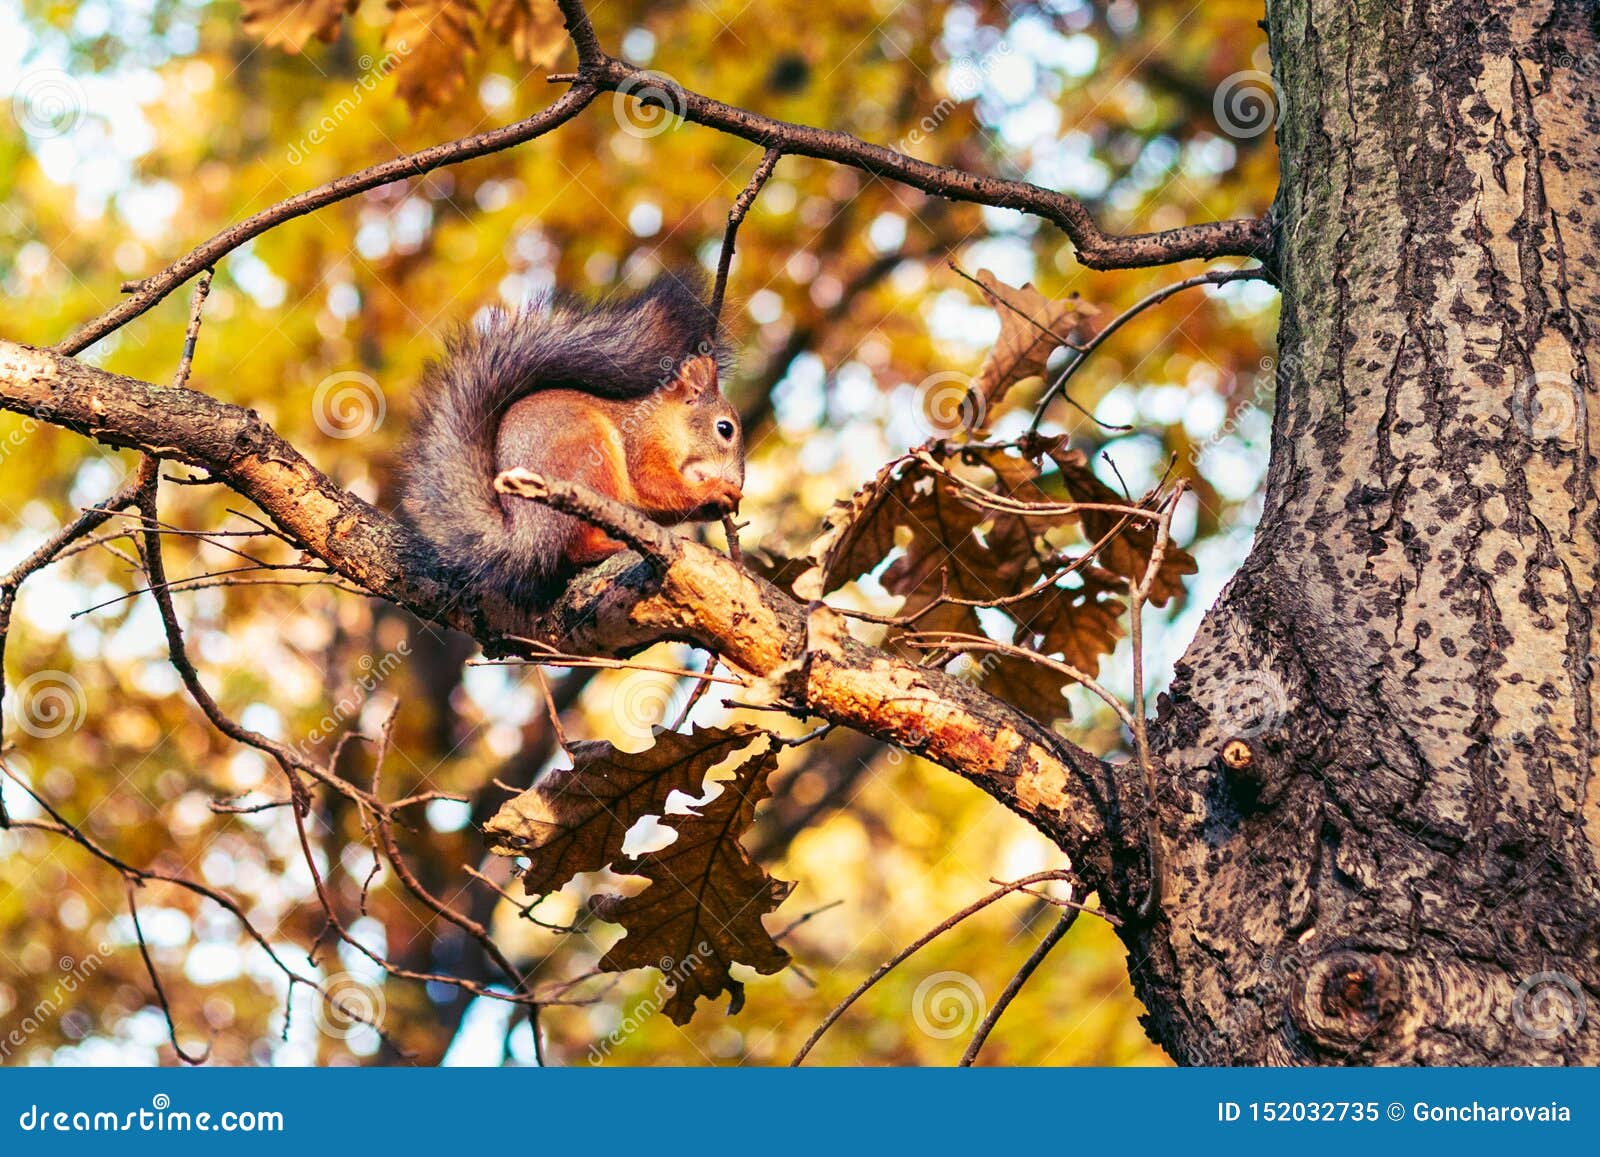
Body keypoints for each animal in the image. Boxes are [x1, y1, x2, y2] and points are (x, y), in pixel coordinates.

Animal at [402, 272, 745, 608]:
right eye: (725, 429)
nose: (738, 482)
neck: (667, 421)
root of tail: (525, 534)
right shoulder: (642, 443)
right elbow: (654, 484)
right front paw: (715, 490)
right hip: (588, 457)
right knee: (578, 547)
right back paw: (610, 546)